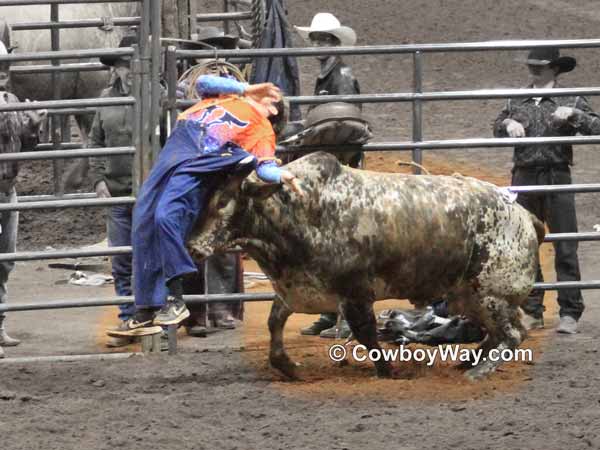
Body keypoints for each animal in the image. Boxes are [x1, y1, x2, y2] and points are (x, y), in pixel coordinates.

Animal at [190, 152, 548, 380]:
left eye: (224, 200)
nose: (192, 246)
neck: (302, 210)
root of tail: (525, 215)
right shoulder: (295, 289)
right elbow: (274, 323)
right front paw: (289, 367)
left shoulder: (356, 293)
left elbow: (366, 335)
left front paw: (388, 372)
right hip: (467, 296)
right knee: (499, 333)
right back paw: (466, 363)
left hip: (492, 294)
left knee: (513, 334)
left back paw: (477, 372)